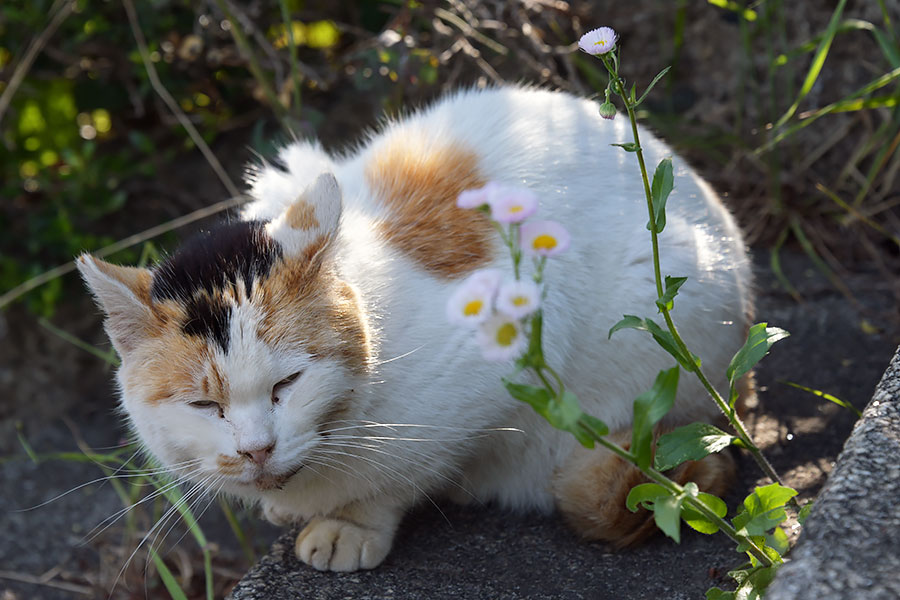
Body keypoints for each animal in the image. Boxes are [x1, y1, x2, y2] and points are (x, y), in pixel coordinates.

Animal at [77, 84, 752, 572]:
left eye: (287, 383)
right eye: (203, 406)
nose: (256, 450)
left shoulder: (492, 368)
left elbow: (399, 476)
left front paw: (350, 524)